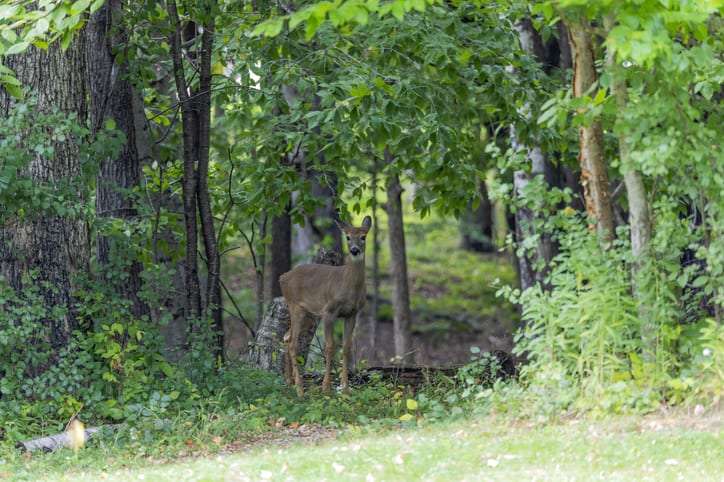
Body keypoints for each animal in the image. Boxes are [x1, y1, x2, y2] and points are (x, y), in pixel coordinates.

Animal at [278, 216, 370, 396]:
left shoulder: (352, 313)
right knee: (292, 343)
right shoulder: (329, 311)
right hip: (295, 306)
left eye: (363, 237)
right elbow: (330, 346)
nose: (354, 250)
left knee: (286, 337)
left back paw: (289, 381)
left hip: (309, 314)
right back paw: (299, 389)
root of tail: (282, 277)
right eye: (347, 237)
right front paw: (326, 387)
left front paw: (345, 388)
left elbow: (346, 347)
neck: (348, 285)